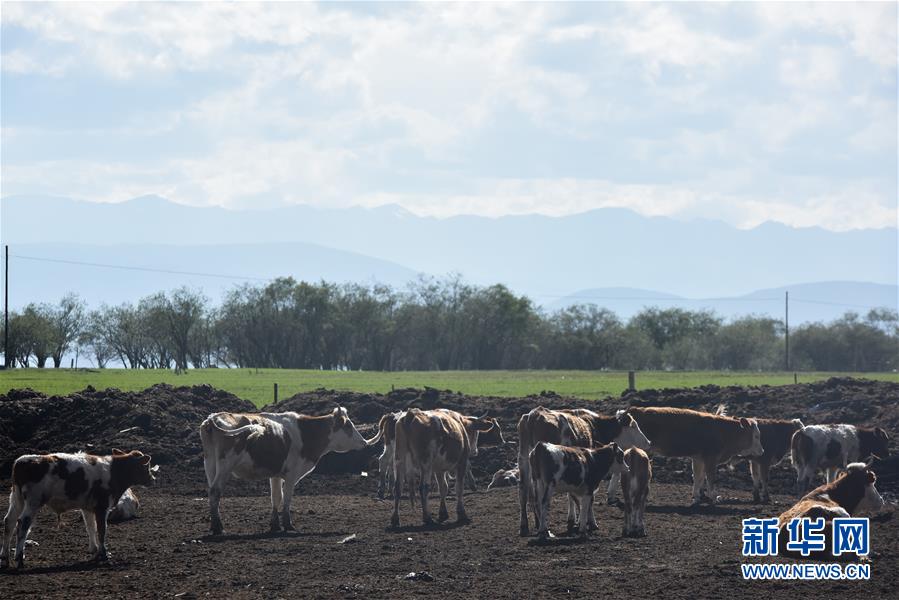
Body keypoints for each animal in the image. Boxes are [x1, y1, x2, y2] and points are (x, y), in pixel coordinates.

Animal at [1, 448, 158, 568]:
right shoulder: (102, 506)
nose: (153, 480)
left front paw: (94, 550)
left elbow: (91, 528)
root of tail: (21, 461)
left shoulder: (88, 507)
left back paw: (5, 558)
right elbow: (102, 530)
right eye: (146, 466)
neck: (113, 471)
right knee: (23, 523)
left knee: (9, 521)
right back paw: (19, 558)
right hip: (33, 501)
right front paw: (103, 553)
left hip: (16, 498)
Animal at [200, 408, 372, 536]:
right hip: (225, 465)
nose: (364, 442)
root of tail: (213, 417)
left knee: (212, 492)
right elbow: (287, 498)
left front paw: (275, 525)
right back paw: (218, 527)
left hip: (210, 464)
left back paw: (214, 525)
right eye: (348, 426)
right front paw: (288, 525)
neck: (306, 433)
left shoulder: (276, 475)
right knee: (215, 491)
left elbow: (276, 497)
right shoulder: (291, 474)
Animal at [516, 406, 652, 536]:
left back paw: (526, 526)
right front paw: (589, 522)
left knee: (524, 492)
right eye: (633, 425)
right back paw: (543, 527)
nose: (648, 442)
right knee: (539, 498)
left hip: (524, 462)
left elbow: (571, 494)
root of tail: (534, 415)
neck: (595, 426)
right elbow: (585, 498)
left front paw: (573, 519)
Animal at [624, 408, 768, 506]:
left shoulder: (699, 458)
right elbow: (710, 478)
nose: (762, 451)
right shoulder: (711, 458)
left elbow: (698, 477)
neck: (723, 432)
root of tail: (635, 409)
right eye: (756, 436)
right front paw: (714, 497)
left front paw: (697, 497)